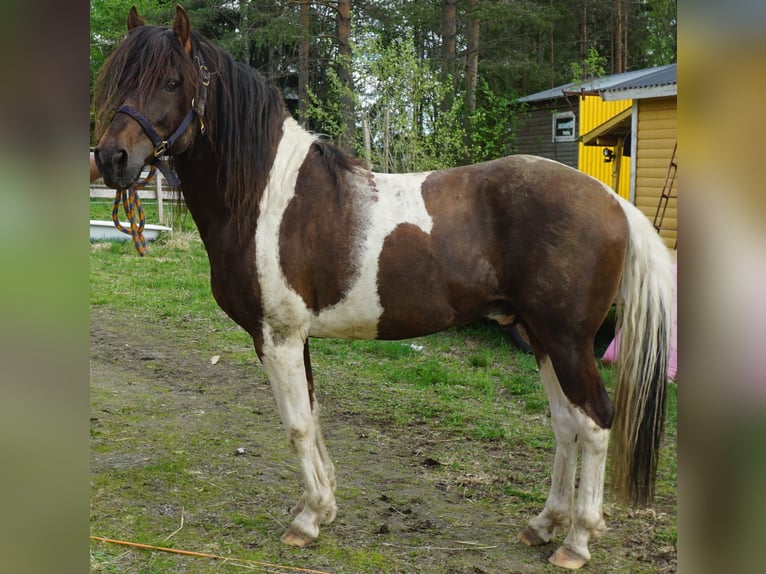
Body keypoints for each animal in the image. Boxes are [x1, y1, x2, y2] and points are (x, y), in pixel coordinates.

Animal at [93, 6, 674, 570]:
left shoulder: (277, 336)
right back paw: (544, 524)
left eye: (171, 82)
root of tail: (610, 200)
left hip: (568, 341)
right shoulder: (295, 337)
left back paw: (576, 541)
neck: (266, 198)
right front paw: (323, 505)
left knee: (594, 423)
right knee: (564, 424)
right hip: (540, 336)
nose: (112, 159)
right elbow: (313, 415)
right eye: (116, 77)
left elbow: (296, 425)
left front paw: (307, 520)